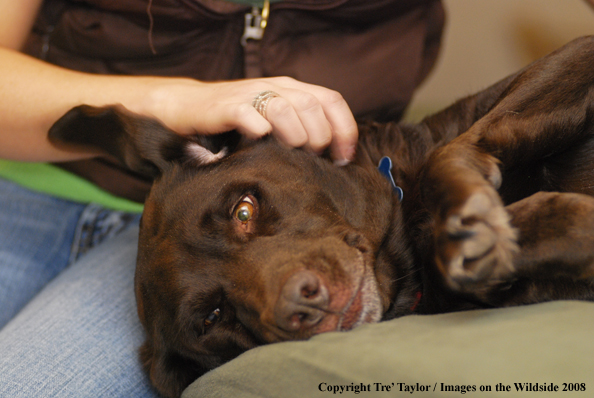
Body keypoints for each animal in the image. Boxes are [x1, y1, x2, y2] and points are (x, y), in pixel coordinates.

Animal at [49, 35, 592, 396]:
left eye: (243, 210)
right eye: (213, 317)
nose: (304, 304)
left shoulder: (574, 56)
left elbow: (456, 148)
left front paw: (470, 221)